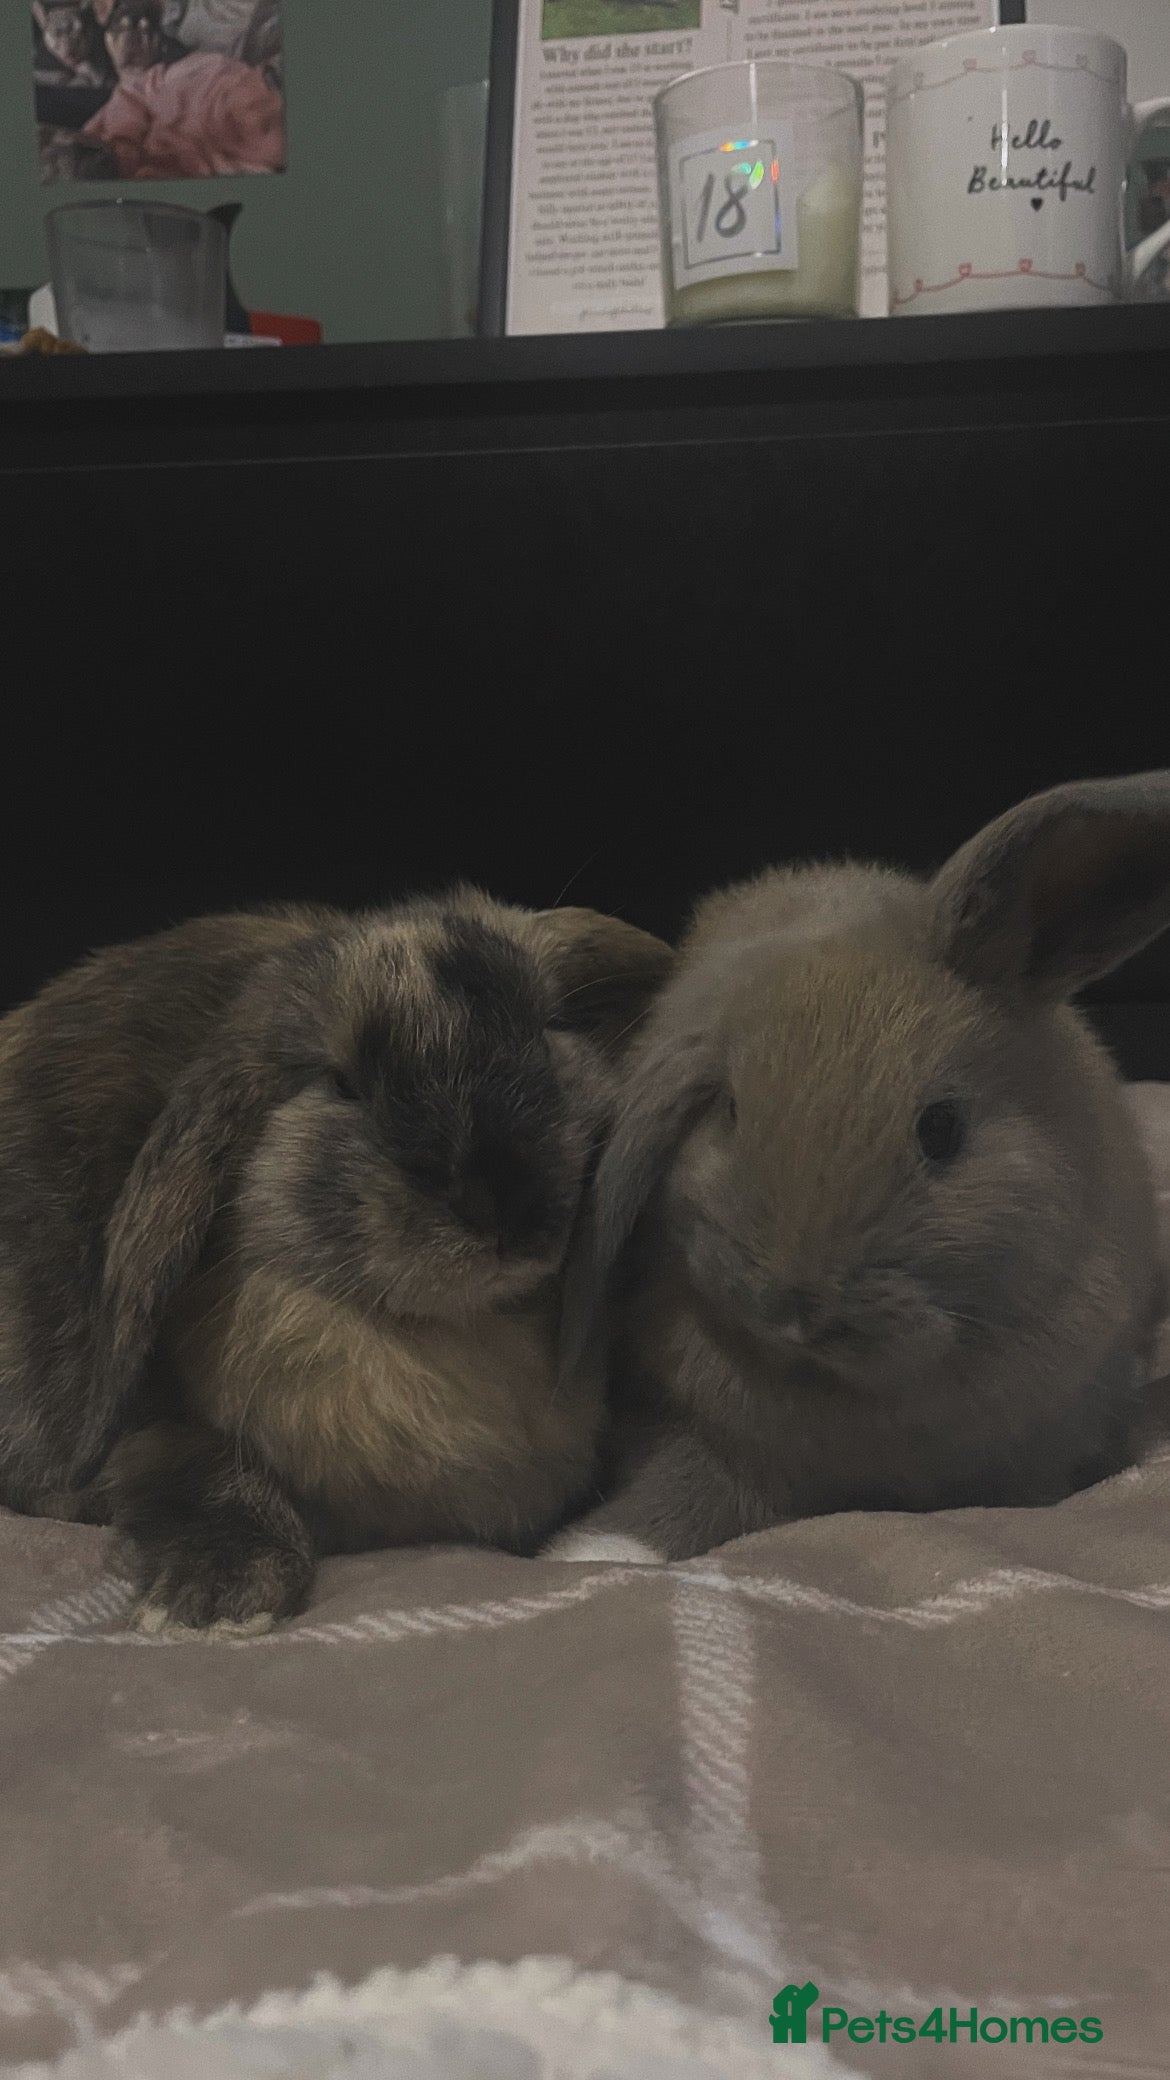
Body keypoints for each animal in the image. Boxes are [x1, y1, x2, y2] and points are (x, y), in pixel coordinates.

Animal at [0, 890, 673, 1628]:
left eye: (550, 1031)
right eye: (343, 1083)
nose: (505, 1205)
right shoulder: (155, 1434)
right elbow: (204, 1471)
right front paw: (214, 1603)